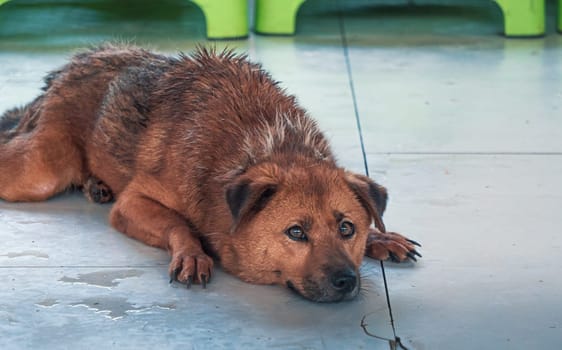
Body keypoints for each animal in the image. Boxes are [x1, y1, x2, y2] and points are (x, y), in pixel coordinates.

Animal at [0, 45, 418, 302]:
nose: (347, 280)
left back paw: (96, 185)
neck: (271, 143)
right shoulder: (133, 202)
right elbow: (179, 224)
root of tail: (73, 62)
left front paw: (381, 237)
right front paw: (193, 253)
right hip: (41, 169)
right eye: (296, 233)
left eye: (347, 228)